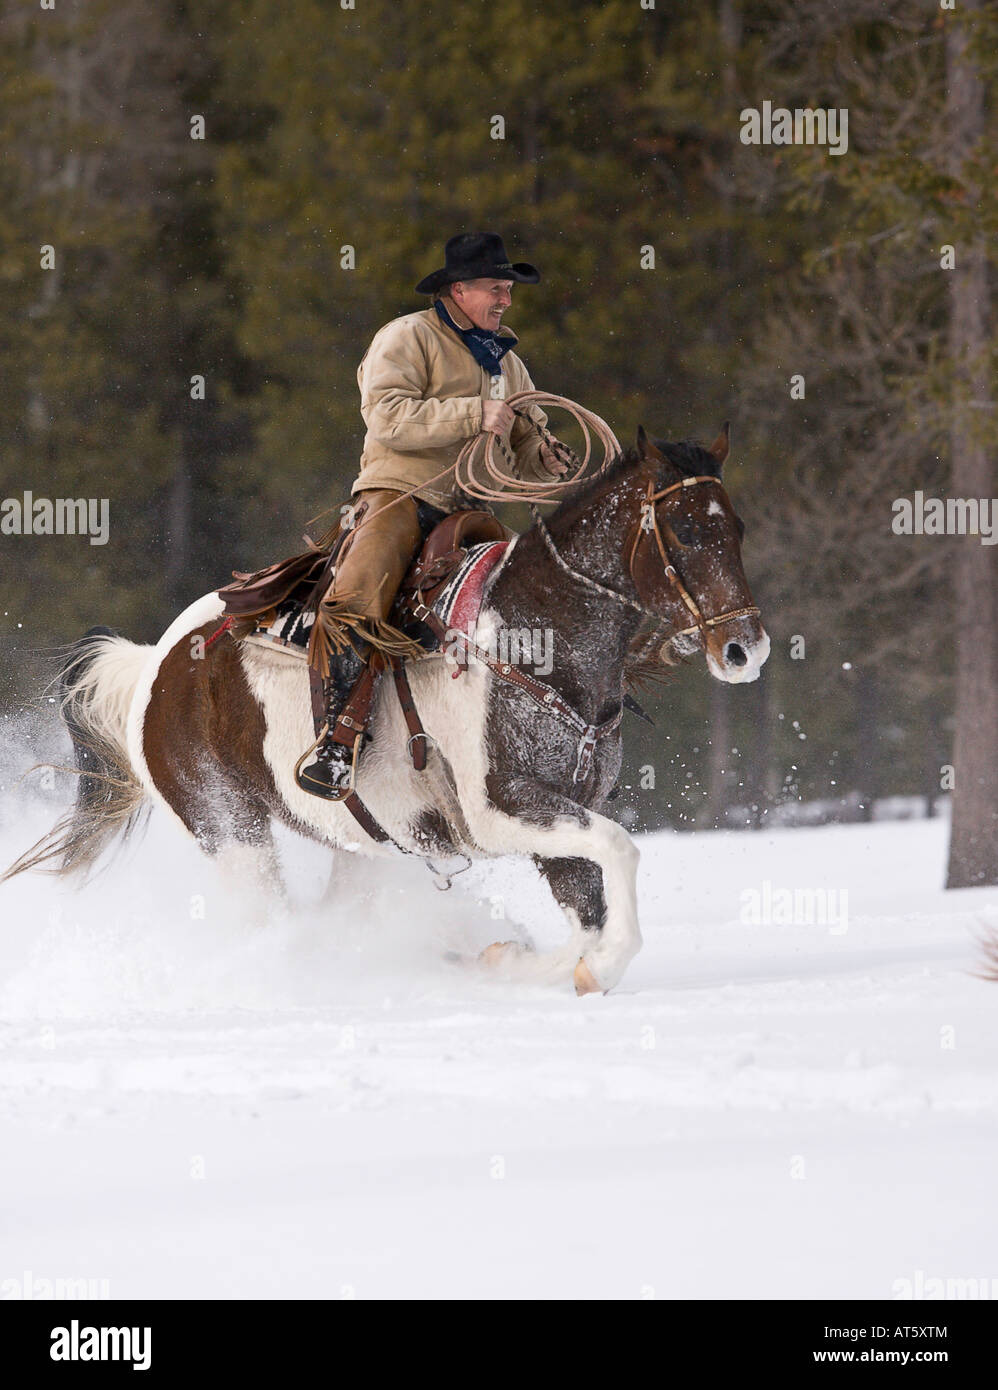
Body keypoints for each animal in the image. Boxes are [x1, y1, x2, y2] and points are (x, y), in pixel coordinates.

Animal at [7, 428, 772, 995]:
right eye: (686, 531)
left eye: (735, 528)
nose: (746, 648)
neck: (534, 642)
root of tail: (152, 665)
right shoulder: (502, 807)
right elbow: (620, 850)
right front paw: (596, 966)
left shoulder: (560, 811)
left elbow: (588, 909)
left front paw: (513, 960)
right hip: (228, 826)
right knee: (268, 914)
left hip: (364, 840)